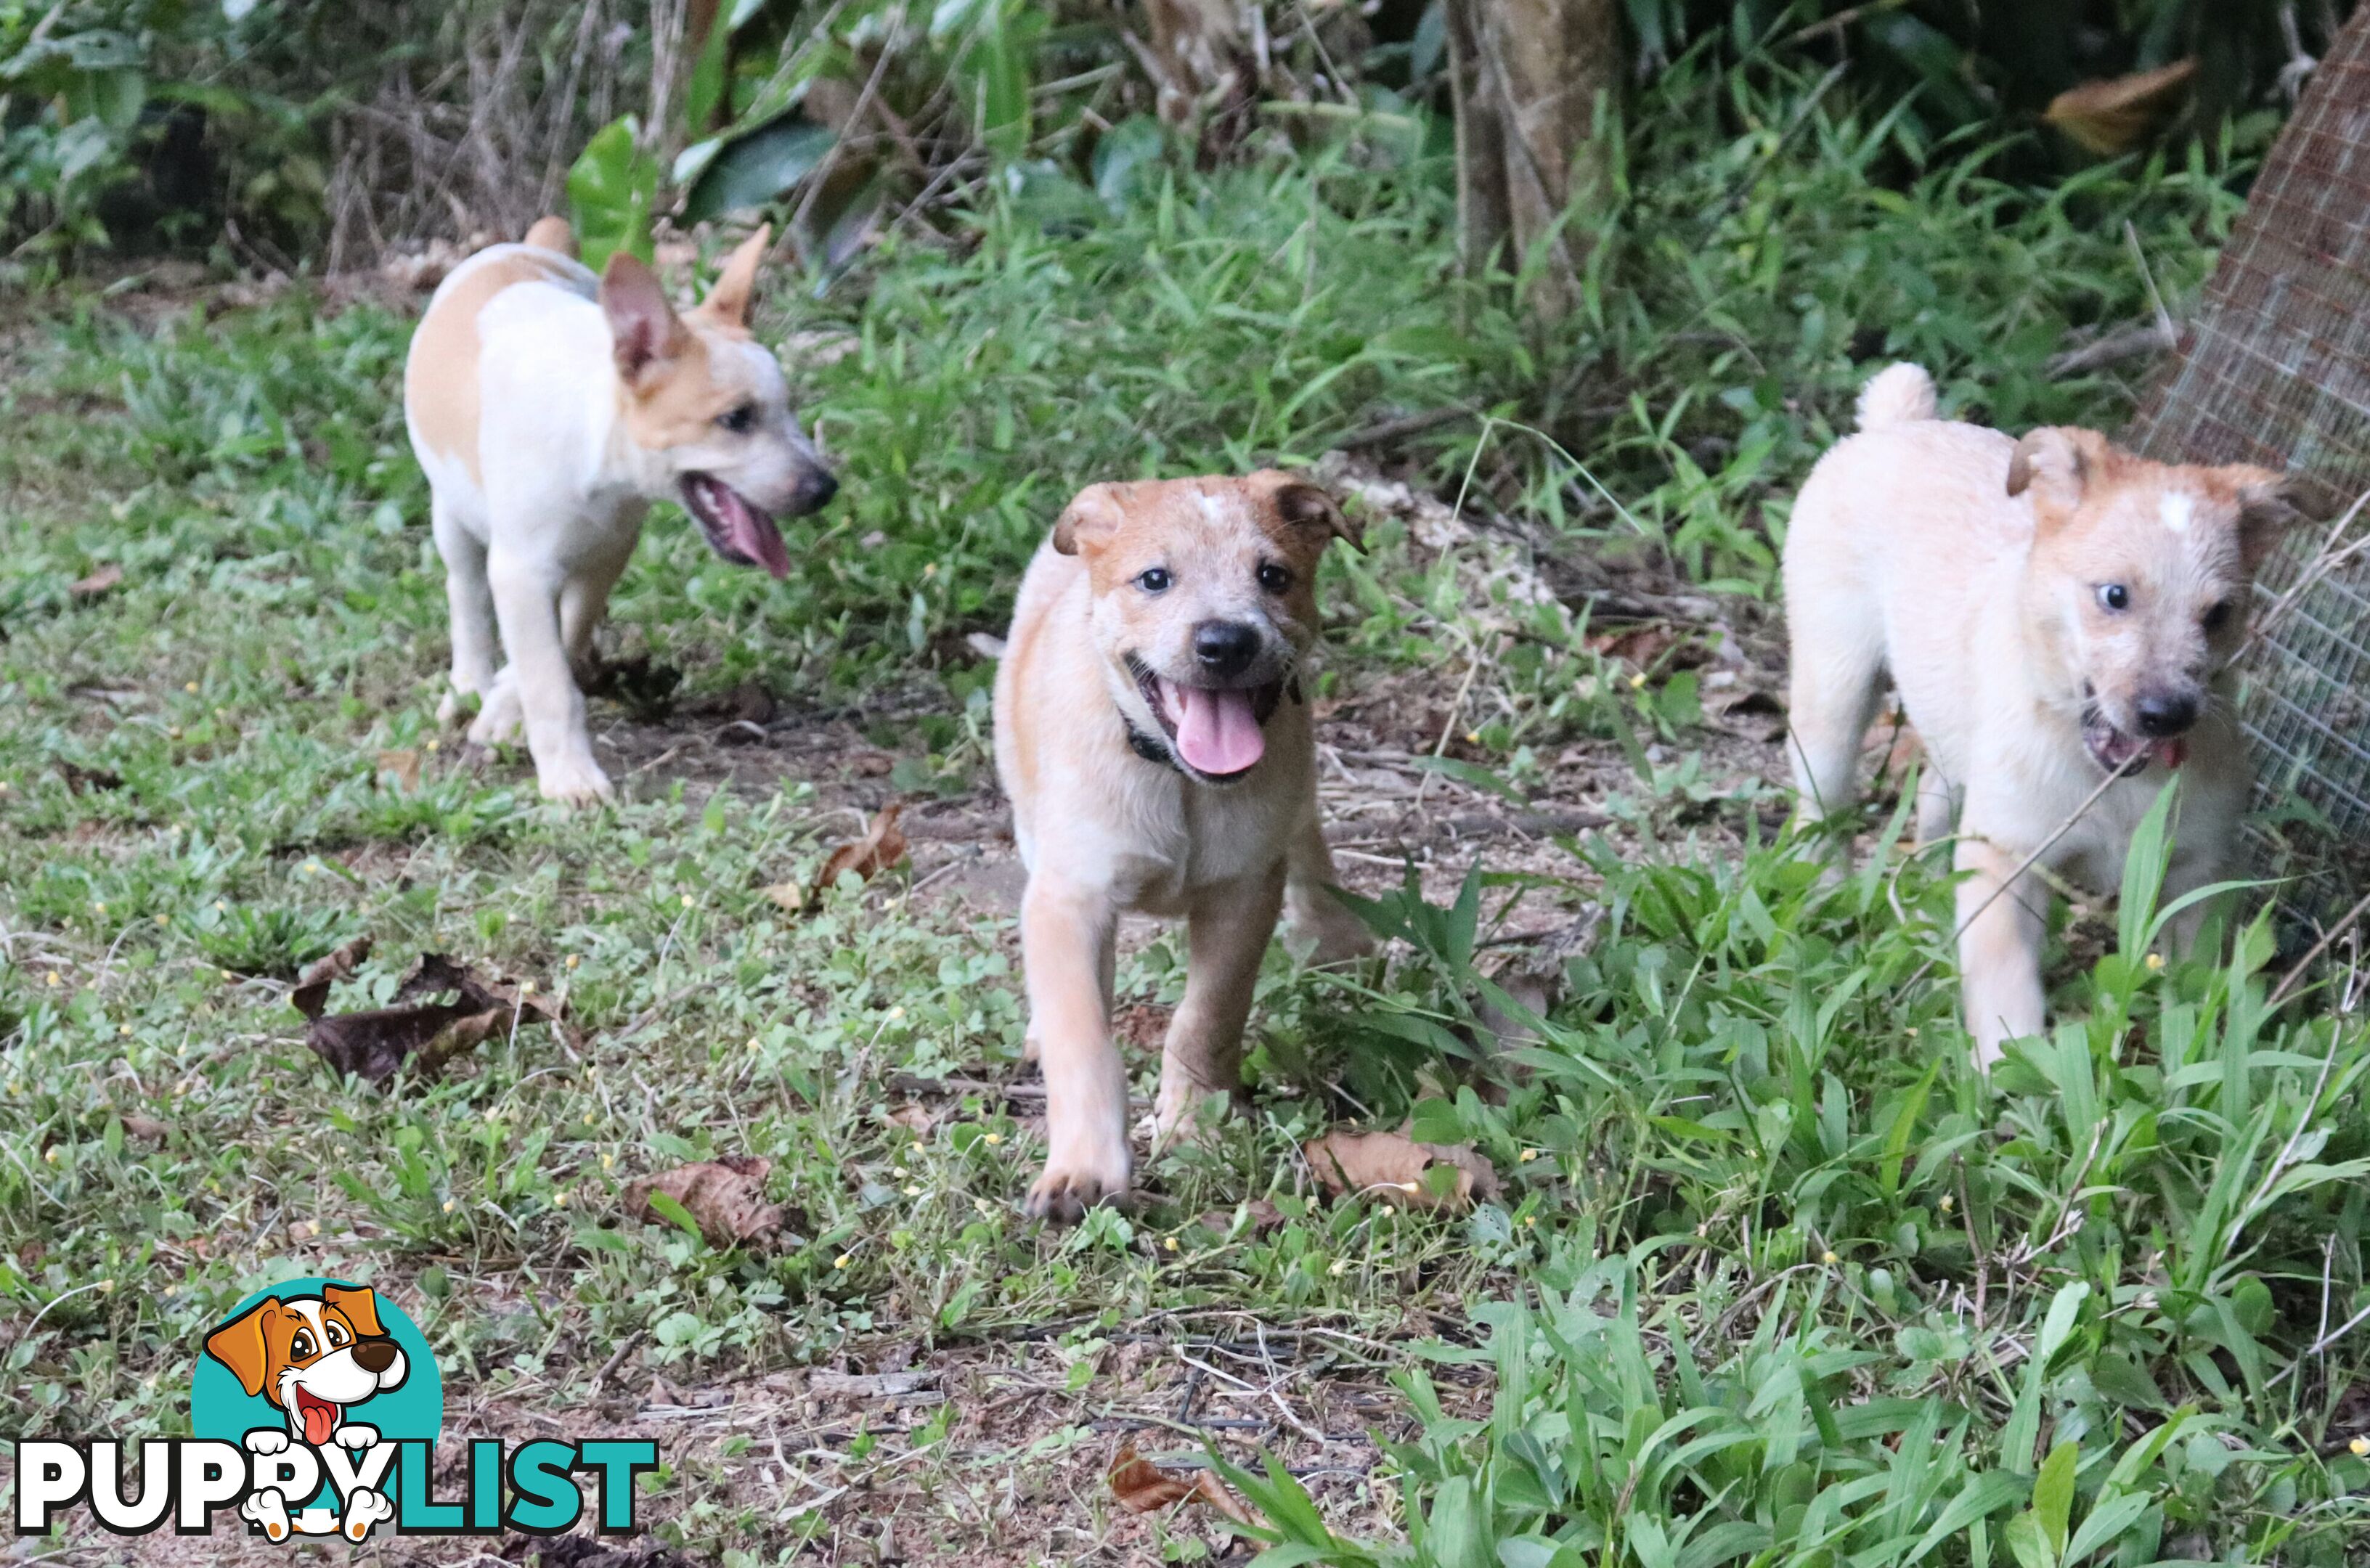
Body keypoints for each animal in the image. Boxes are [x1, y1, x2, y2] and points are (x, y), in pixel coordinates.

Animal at [410, 219, 843, 805]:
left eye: (790, 410)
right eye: (736, 419)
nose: (826, 489)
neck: (596, 451)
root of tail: (523, 245)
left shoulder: (605, 558)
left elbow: (561, 643)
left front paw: (507, 712)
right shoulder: (520, 570)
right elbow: (546, 676)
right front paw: (569, 776)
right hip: (450, 518)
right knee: (466, 595)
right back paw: (468, 685)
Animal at [995, 473, 1375, 1222]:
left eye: (1273, 576)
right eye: (1155, 579)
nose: (1225, 642)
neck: (1176, 778)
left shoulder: (1244, 891)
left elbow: (1207, 1017)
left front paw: (1197, 1126)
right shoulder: (1069, 896)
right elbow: (1082, 1037)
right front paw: (1083, 1169)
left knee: (1307, 832)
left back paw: (1334, 930)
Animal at [1782, 362, 2284, 1061]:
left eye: (2218, 614)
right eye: (2115, 595)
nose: (2167, 714)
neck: (2107, 781)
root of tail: (1898, 422)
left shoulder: (2197, 870)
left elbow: (2192, 987)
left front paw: (2206, 1058)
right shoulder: (2008, 862)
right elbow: (2006, 989)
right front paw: (2009, 1072)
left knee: (1934, 796)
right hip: (1834, 689)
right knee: (1821, 805)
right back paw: (1825, 893)